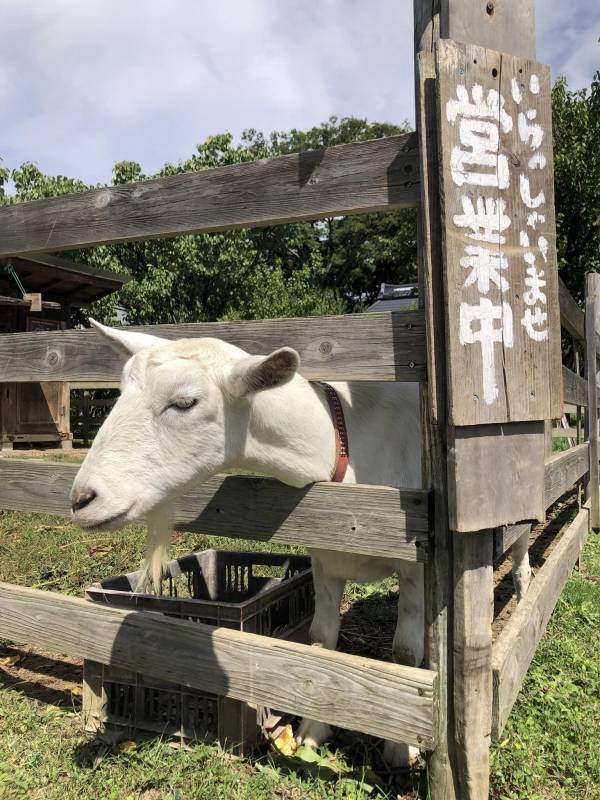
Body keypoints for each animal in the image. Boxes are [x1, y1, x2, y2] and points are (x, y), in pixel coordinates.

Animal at [71, 322, 528, 764]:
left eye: (185, 402)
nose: (81, 499)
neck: (340, 451)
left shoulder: (415, 561)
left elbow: (403, 653)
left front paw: (402, 750)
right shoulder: (324, 560)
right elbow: (322, 639)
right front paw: (311, 731)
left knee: (520, 541)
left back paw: (523, 593)